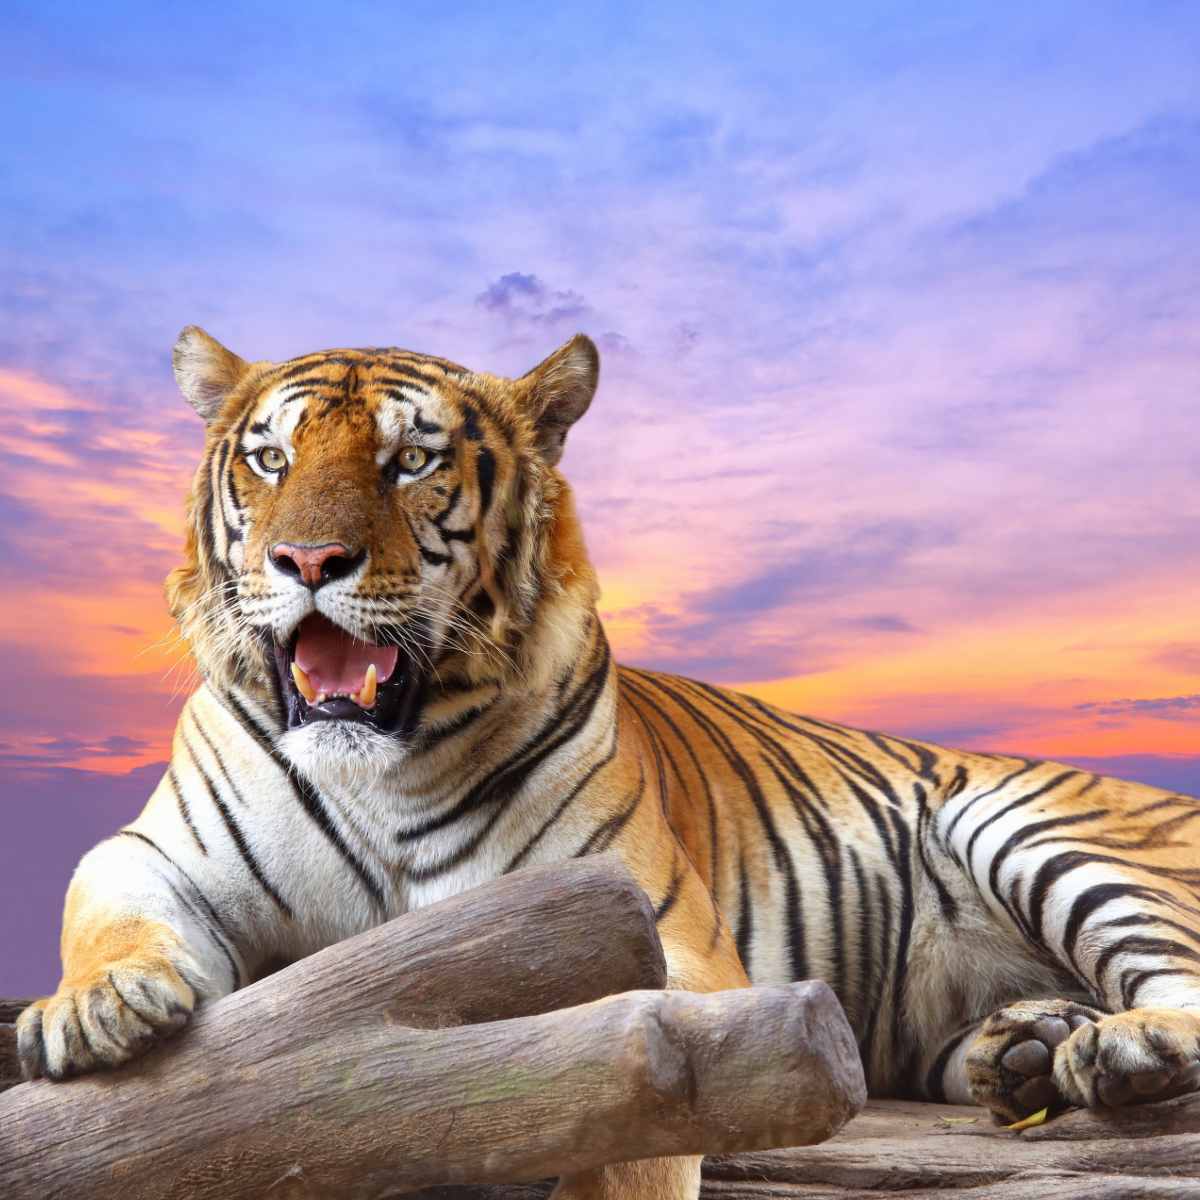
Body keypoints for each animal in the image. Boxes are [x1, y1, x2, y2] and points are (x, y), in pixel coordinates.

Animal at [16, 327, 1200, 1199]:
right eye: (271, 459)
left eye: (412, 461)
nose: (307, 559)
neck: (375, 766)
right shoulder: (160, 848)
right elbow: (105, 905)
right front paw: (96, 1009)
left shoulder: (661, 944)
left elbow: (637, 1104)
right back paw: (1028, 1048)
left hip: (1031, 824)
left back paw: (1117, 1050)